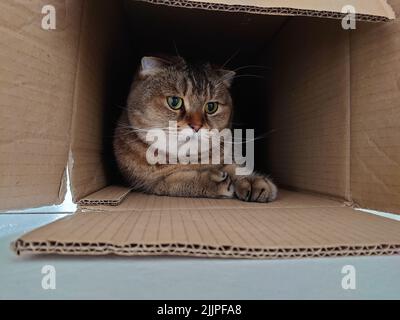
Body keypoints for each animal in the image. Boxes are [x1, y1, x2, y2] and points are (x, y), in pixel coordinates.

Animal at [111, 54, 276, 201]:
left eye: (211, 107)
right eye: (174, 102)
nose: (196, 126)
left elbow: (235, 166)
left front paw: (252, 180)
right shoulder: (148, 183)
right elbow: (174, 182)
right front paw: (214, 181)